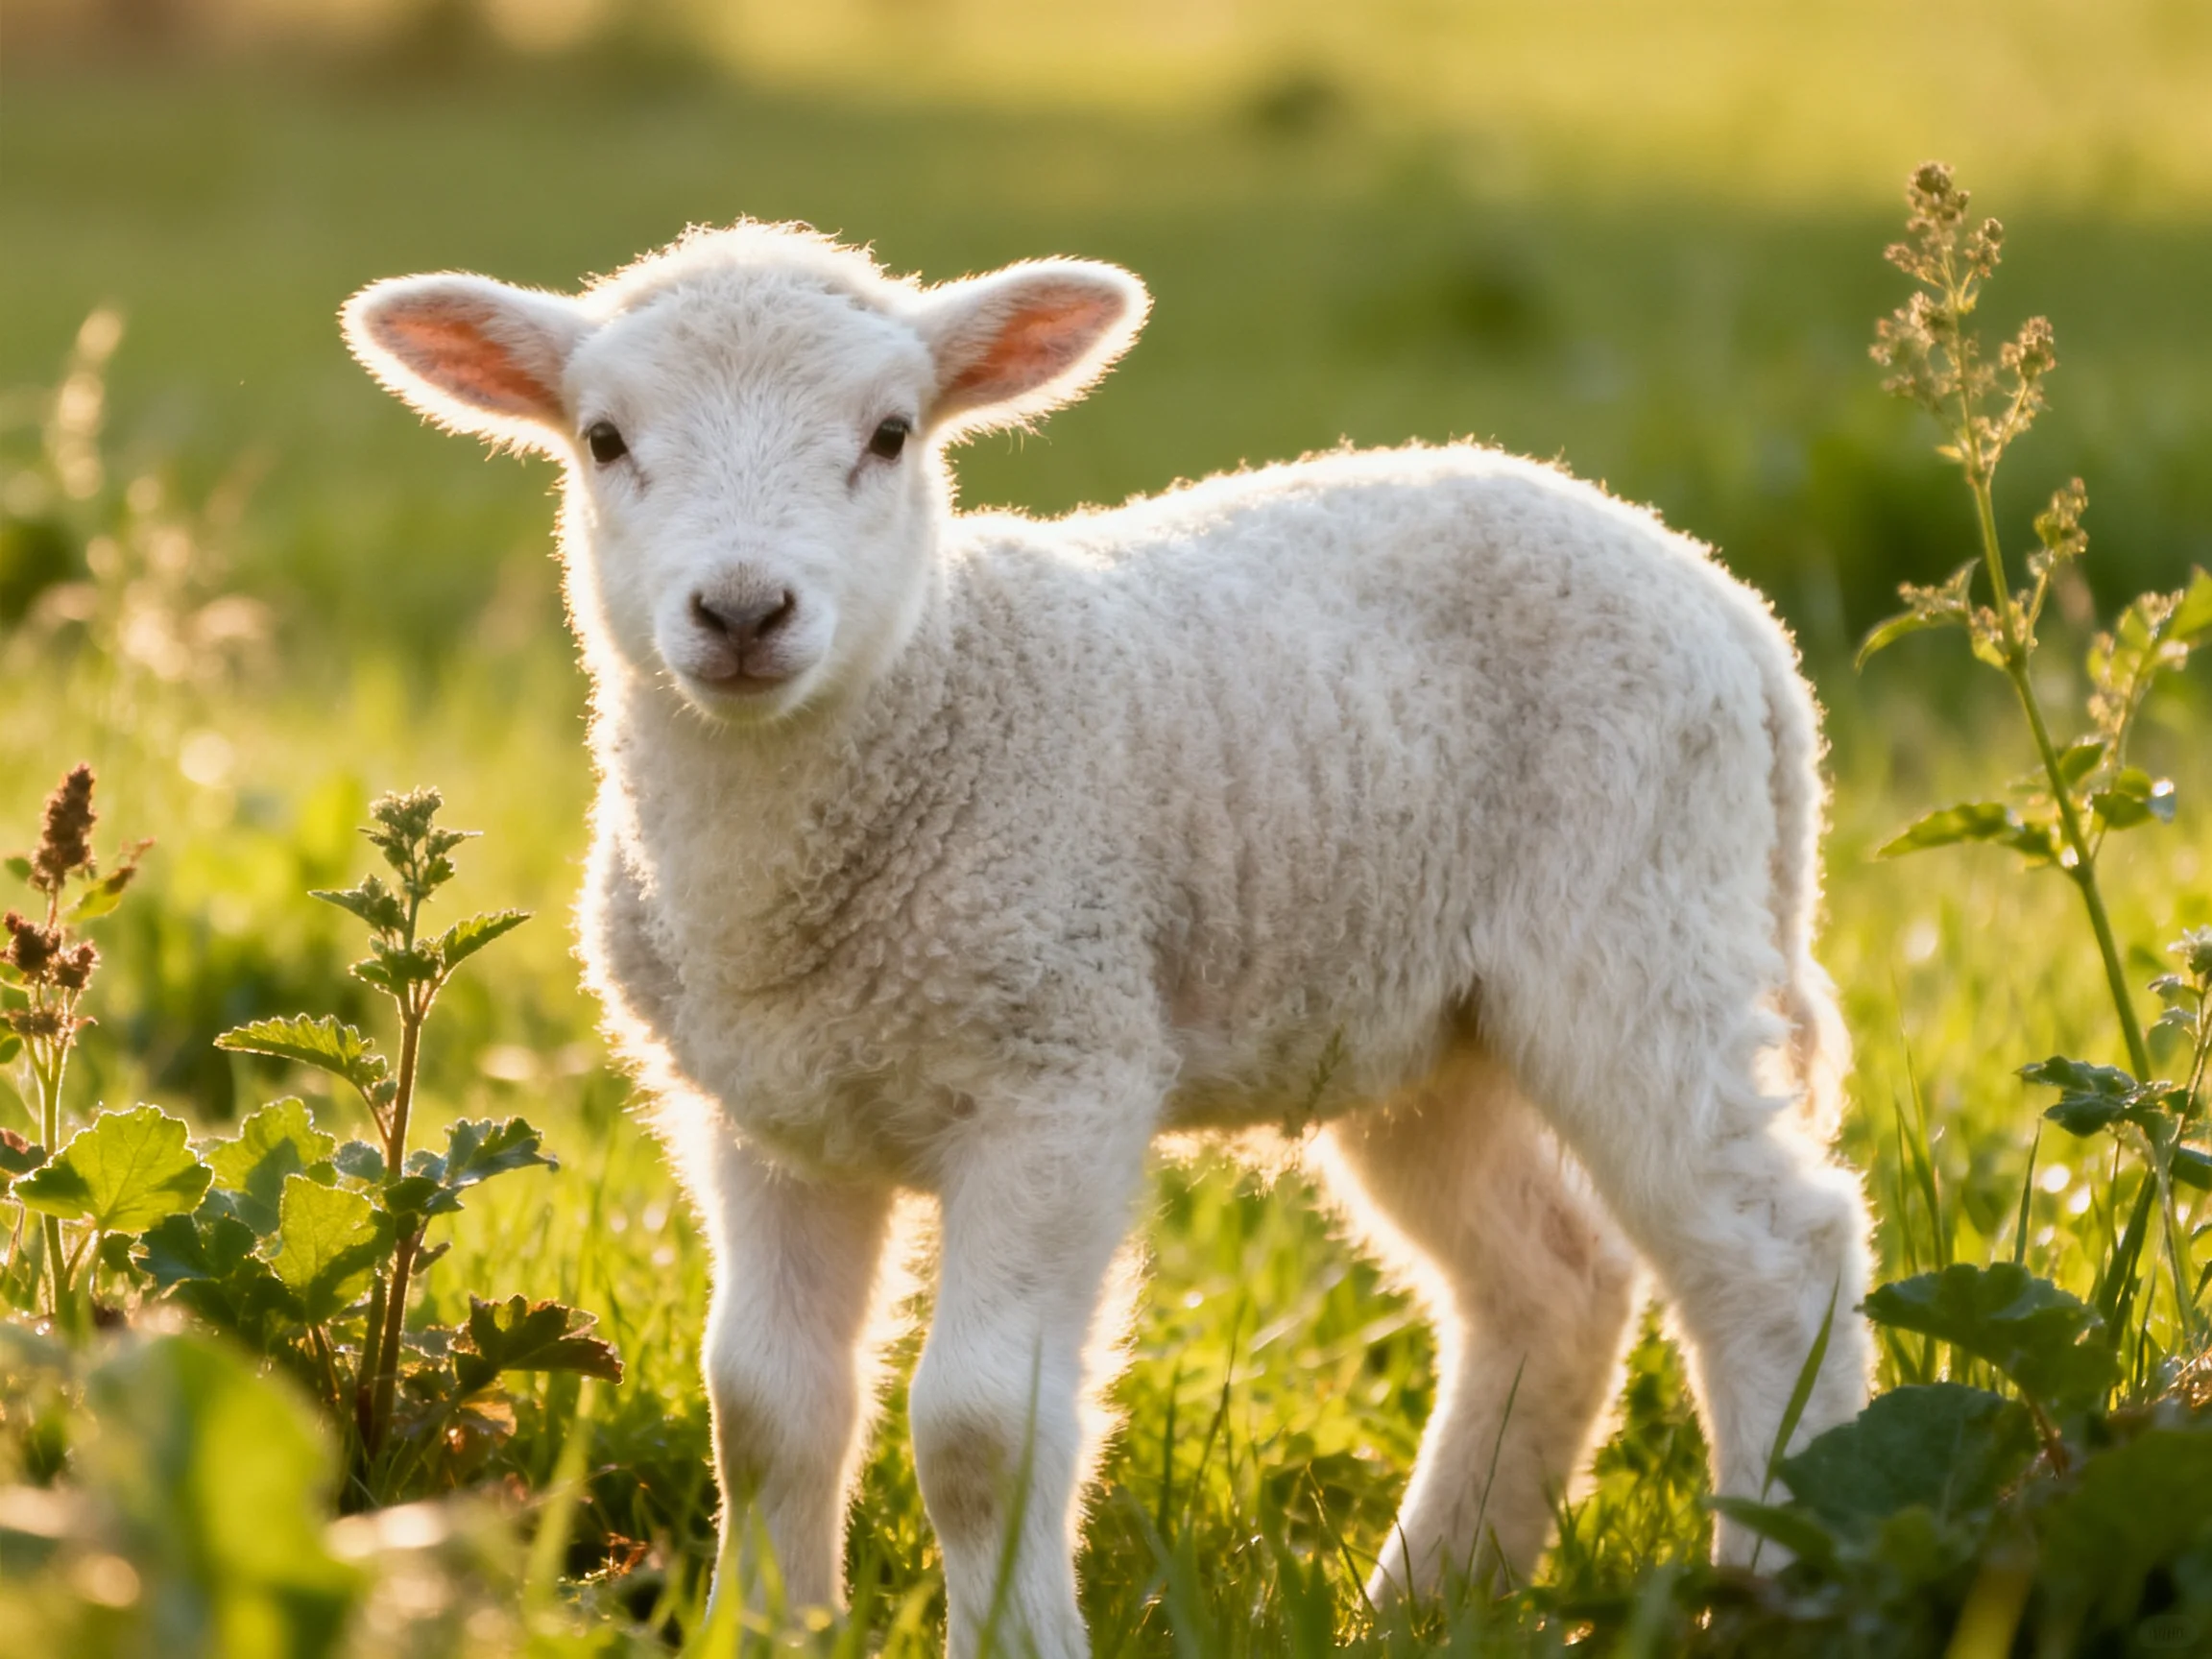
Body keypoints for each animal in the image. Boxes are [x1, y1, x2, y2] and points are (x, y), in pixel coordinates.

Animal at [342, 220, 1873, 1659]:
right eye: (604, 440)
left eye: (891, 434)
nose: (741, 612)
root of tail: (1727, 603)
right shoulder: (766, 1116)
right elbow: (765, 1406)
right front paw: (770, 1627)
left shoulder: (1058, 1071)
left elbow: (978, 1426)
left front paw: (1016, 1637)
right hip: (1425, 1024)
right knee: (1550, 1283)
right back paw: (1427, 1600)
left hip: (1641, 921)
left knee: (1770, 1256)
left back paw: (1784, 1580)